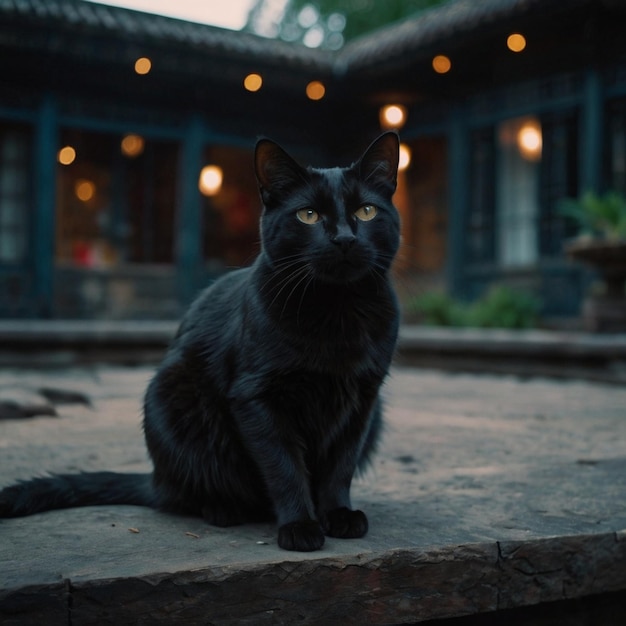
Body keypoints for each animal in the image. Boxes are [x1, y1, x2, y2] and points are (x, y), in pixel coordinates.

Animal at [0, 130, 400, 544]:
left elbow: (340, 467)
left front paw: (338, 514)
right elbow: (285, 466)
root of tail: (155, 479)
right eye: (308, 215)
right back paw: (224, 509)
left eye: (366, 212)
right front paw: (300, 526)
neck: (337, 310)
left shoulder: (362, 400)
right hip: (173, 397)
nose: (344, 239)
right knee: (189, 494)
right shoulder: (256, 397)